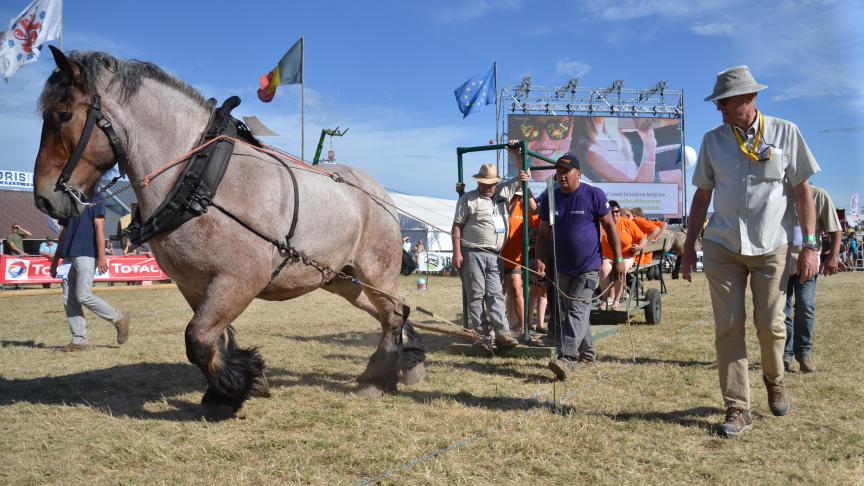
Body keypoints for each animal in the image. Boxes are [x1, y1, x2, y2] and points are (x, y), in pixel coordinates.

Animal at [31, 47, 425, 419]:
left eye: (64, 114)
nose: (44, 198)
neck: (200, 178)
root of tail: (379, 192)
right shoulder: (195, 284)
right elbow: (216, 338)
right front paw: (237, 386)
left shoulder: (239, 280)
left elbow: (198, 338)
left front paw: (233, 390)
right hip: (341, 279)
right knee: (396, 310)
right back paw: (409, 360)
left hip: (375, 270)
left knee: (393, 312)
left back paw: (378, 378)